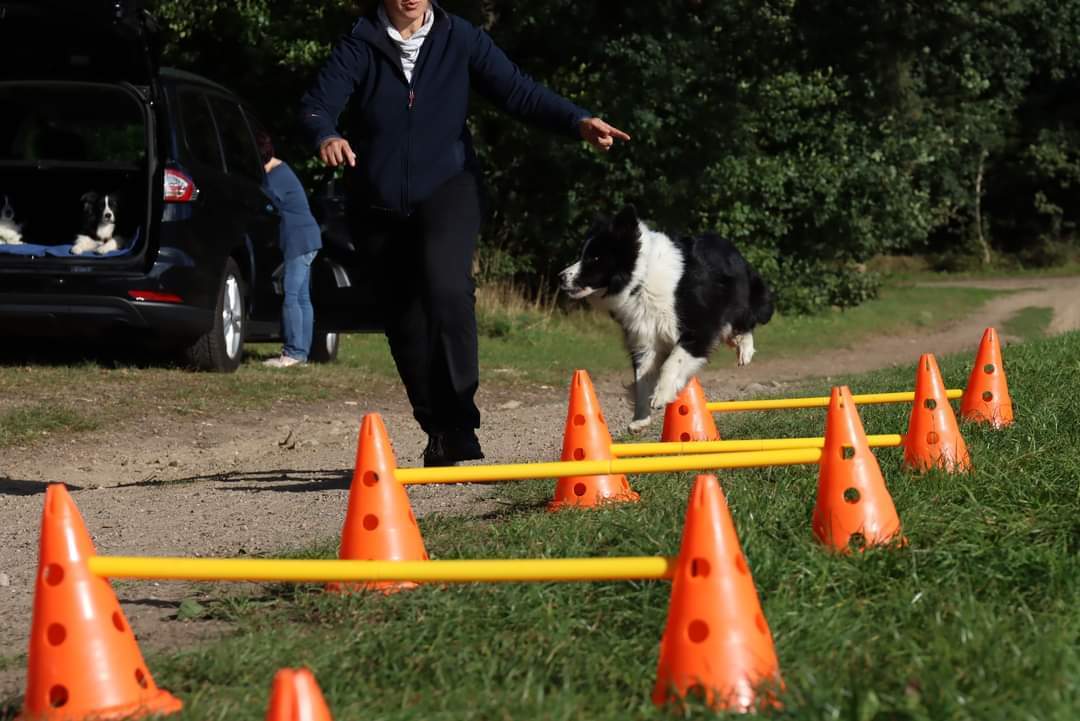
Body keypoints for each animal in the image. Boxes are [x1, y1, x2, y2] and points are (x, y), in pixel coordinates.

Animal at [559, 204, 774, 434]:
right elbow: (642, 378)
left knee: (746, 320)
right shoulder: (645, 336)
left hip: (741, 298)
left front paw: (661, 396)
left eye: (595, 258)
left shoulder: (698, 327)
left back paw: (745, 350)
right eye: (582, 255)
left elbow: (672, 362)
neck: (642, 278)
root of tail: (731, 248)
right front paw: (640, 420)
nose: (560, 277)